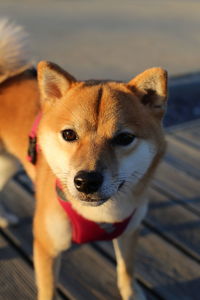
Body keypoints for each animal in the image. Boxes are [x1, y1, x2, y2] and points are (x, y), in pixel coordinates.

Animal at [0, 20, 167, 300]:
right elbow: (47, 291)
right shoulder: (47, 247)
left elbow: (127, 271)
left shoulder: (130, 231)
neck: (101, 216)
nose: (87, 181)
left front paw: (131, 293)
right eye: (69, 134)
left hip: (9, 163)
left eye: (124, 138)